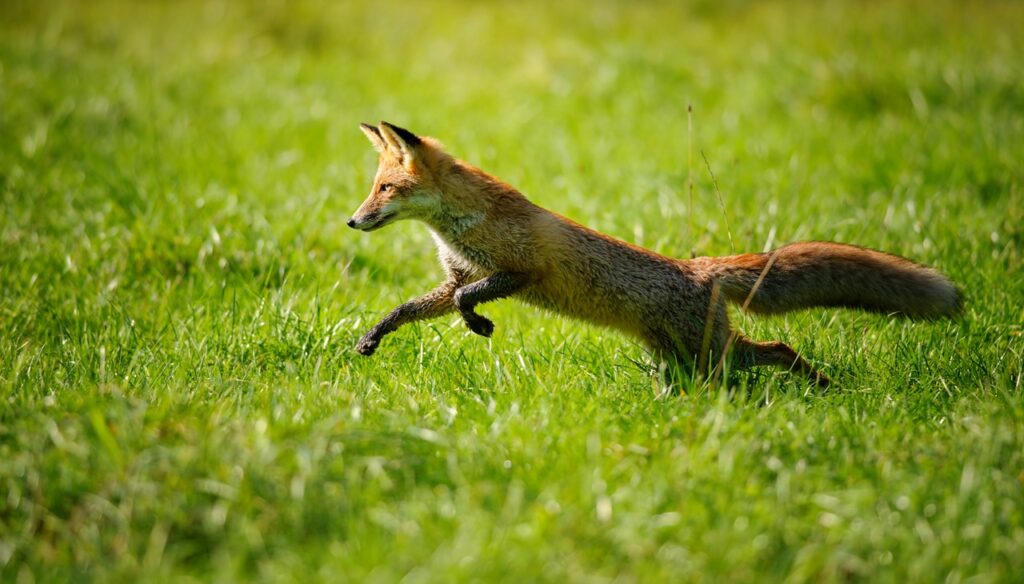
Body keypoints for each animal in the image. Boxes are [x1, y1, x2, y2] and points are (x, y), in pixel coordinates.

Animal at [347, 121, 961, 387]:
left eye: (385, 189)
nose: (352, 222)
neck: (459, 226)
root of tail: (699, 269)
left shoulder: (523, 269)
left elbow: (470, 300)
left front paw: (479, 325)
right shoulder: (455, 277)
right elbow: (410, 309)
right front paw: (373, 337)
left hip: (707, 353)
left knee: (778, 348)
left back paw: (822, 385)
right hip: (688, 354)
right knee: (768, 351)